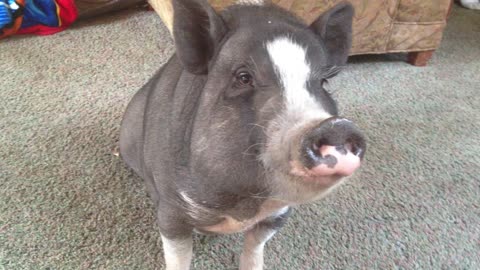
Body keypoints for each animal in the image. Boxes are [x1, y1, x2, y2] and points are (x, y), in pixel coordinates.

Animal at [118, 0, 366, 268]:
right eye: (243, 77)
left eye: (323, 83)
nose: (335, 126)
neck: (243, 206)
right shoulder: (171, 210)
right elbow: (178, 257)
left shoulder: (278, 214)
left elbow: (255, 247)